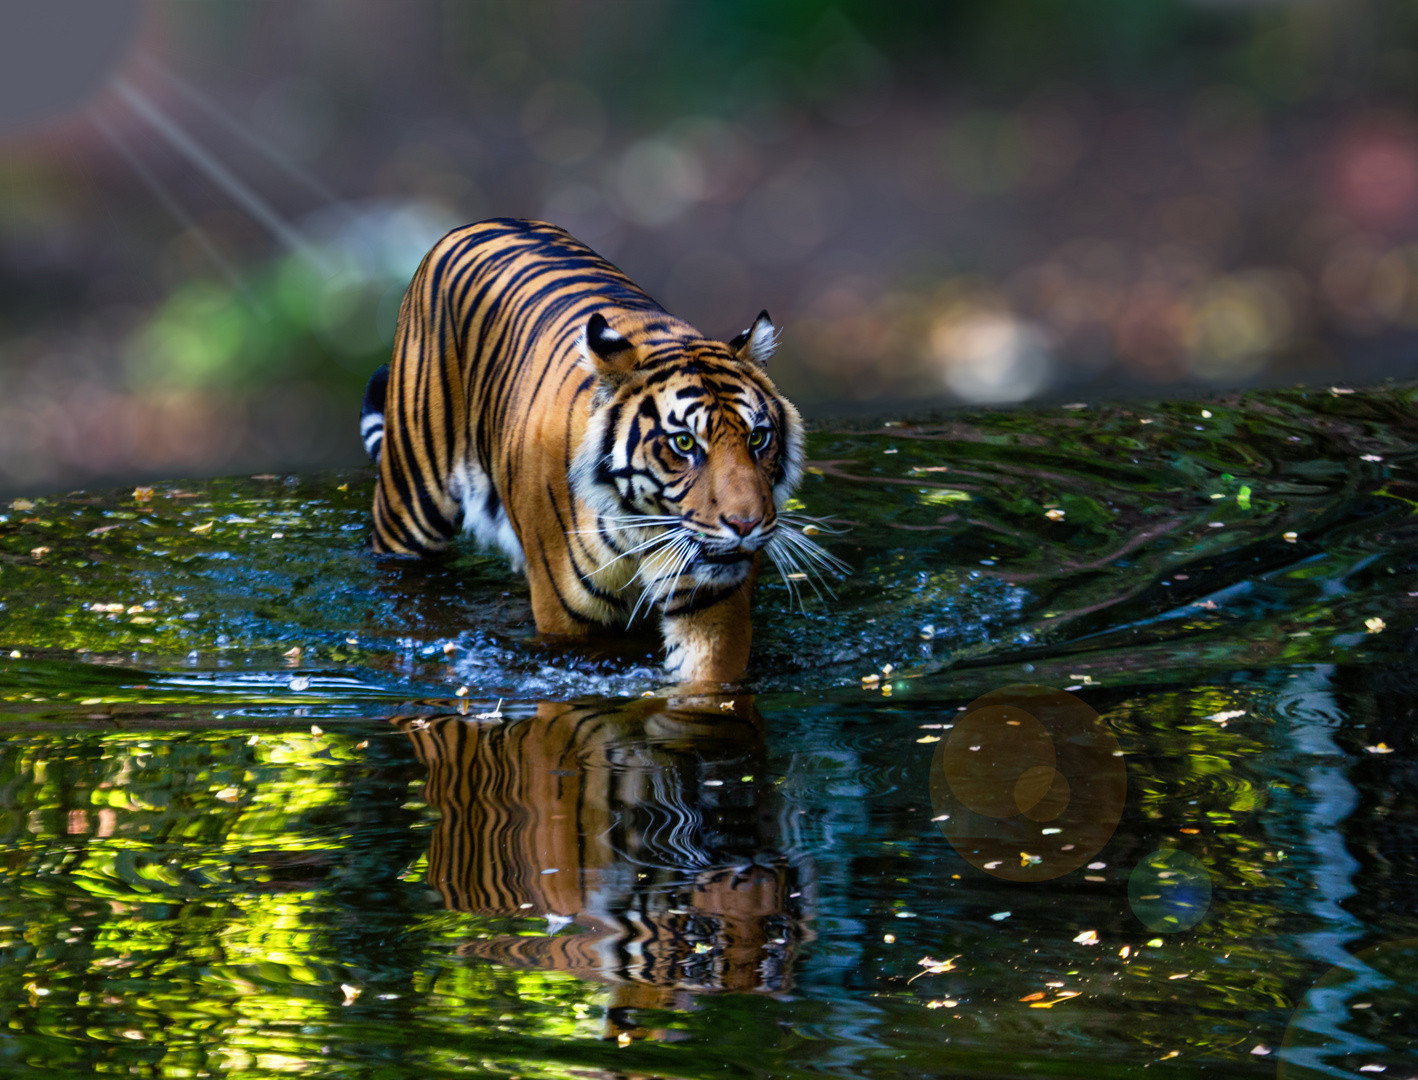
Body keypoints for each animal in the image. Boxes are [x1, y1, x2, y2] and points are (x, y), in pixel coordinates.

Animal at [360, 214, 839, 677]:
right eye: (684, 442)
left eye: (757, 438)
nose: (747, 525)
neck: (642, 532)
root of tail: (477, 223)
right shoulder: (569, 623)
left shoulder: (711, 604)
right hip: (410, 507)